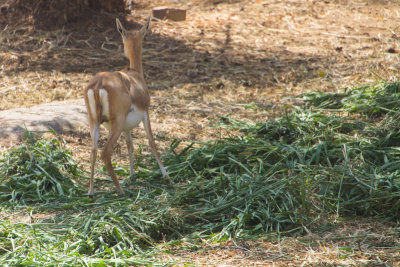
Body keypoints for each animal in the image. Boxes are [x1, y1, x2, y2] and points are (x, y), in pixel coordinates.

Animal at [83, 15, 166, 198]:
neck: (134, 75)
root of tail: (98, 85)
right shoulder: (146, 114)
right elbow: (152, 142)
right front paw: (166, 174)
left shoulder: (128, 126)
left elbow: (130, 144)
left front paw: (132, 175)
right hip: (117, 123)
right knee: (105, 153)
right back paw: (120, 190)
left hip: (94, 122)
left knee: (93, 151)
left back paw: (91, 192)